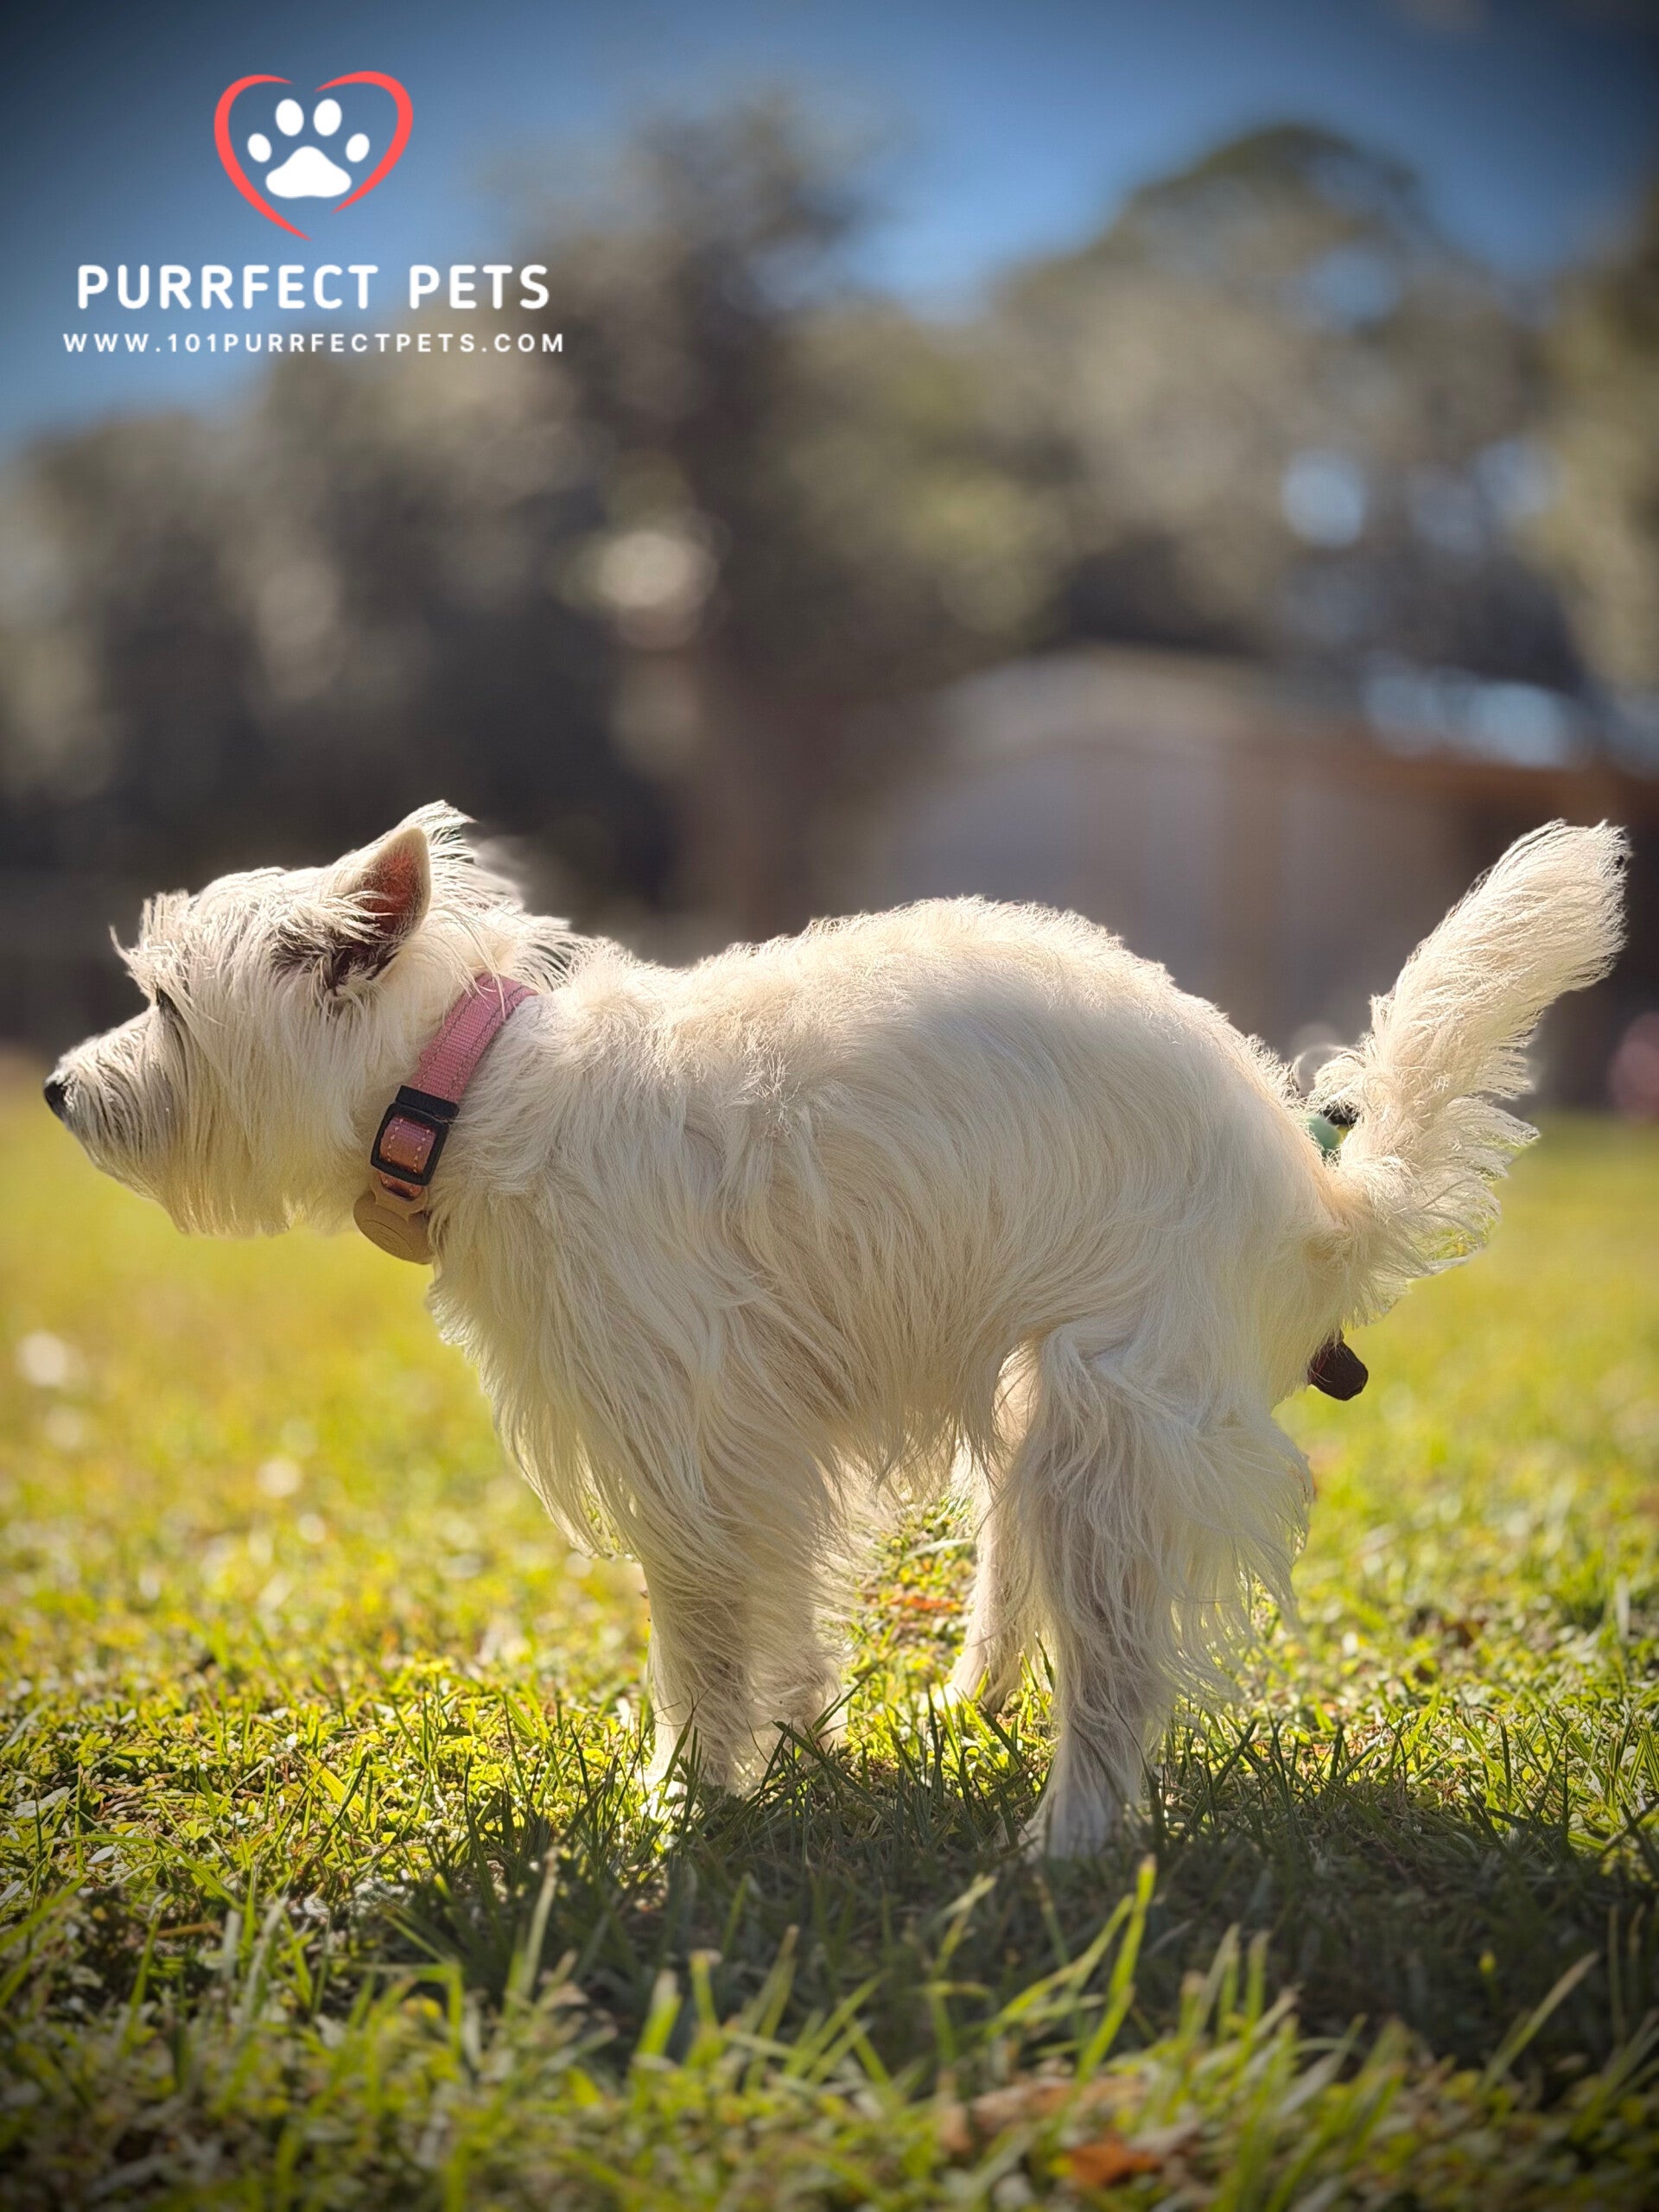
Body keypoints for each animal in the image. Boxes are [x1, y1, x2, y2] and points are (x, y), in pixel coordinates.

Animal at [45, 809, 1625, 1855]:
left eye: (165, 1006)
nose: (57, 1091)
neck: (474, 1083)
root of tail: (1321, 1199)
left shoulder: (691, 1441)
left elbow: (703, 1642)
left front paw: (687, 1802)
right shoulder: (764, 1439)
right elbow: (785, 1614)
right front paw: (801, 1744)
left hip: (1110, 1415)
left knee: (1117, 1669)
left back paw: (1068, 1840)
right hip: (1037, 1402)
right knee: (1016, 1576)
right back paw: (967, 1709)